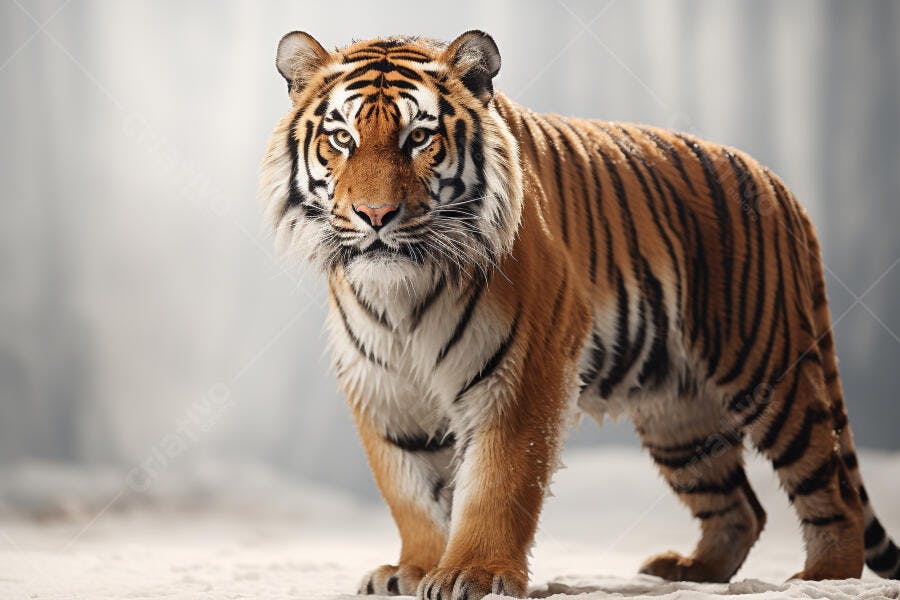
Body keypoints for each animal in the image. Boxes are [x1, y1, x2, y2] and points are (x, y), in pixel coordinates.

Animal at [259, 30, 899, 600]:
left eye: (419, 137)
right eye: (341, 138)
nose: (375, 215)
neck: (402, 293)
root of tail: (778, 185)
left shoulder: (523, 371)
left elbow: (498, 481)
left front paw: (474, 575)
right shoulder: (384, 386)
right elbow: (409, 490)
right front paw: (415, 570)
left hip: (767, 368)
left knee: (829, 483)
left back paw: (823, 577)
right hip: (680, 417)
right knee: (741, 506)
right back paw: (689, 571)